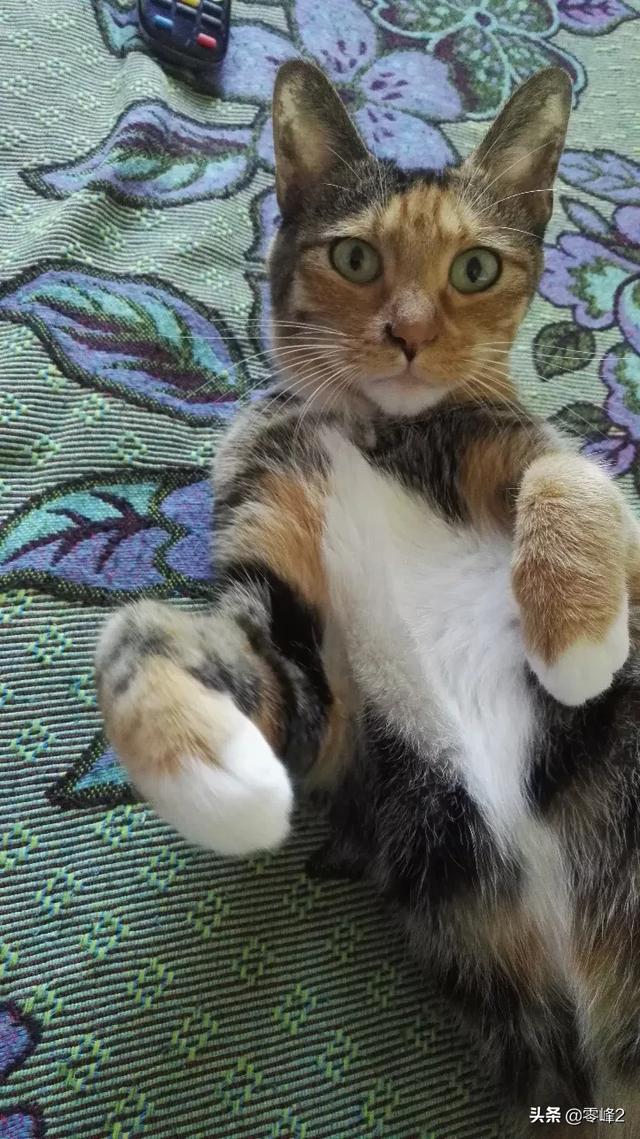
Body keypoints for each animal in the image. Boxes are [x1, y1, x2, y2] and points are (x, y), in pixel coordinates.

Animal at [96, 61, 640, 1135]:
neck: (372, 431)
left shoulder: (562, 480)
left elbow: (575, 470)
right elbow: (145, 635)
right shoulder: (325, 697)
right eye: (353, 255)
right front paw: (211, 771)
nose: (410, 335)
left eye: (476, 269)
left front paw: (576, 638)